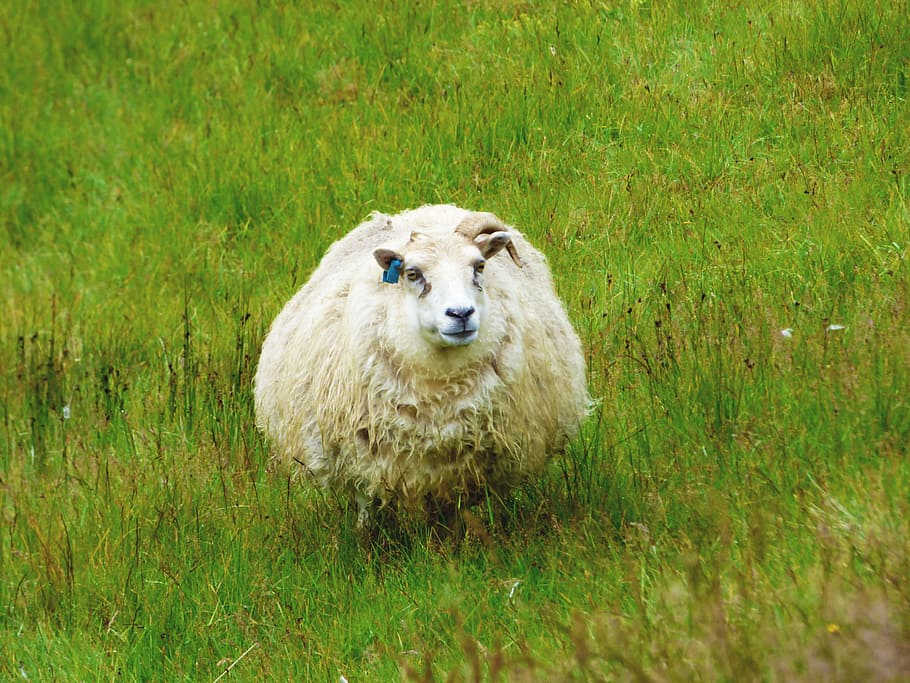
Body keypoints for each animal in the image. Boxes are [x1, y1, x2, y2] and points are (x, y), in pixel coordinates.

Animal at [254, 204, 589, 525]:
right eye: (413, 274)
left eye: (479, 266)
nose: (460, 313)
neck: (439, 386)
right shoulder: (359, 456)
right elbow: (366, 506)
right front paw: (367, 539)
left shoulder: (464, 466)